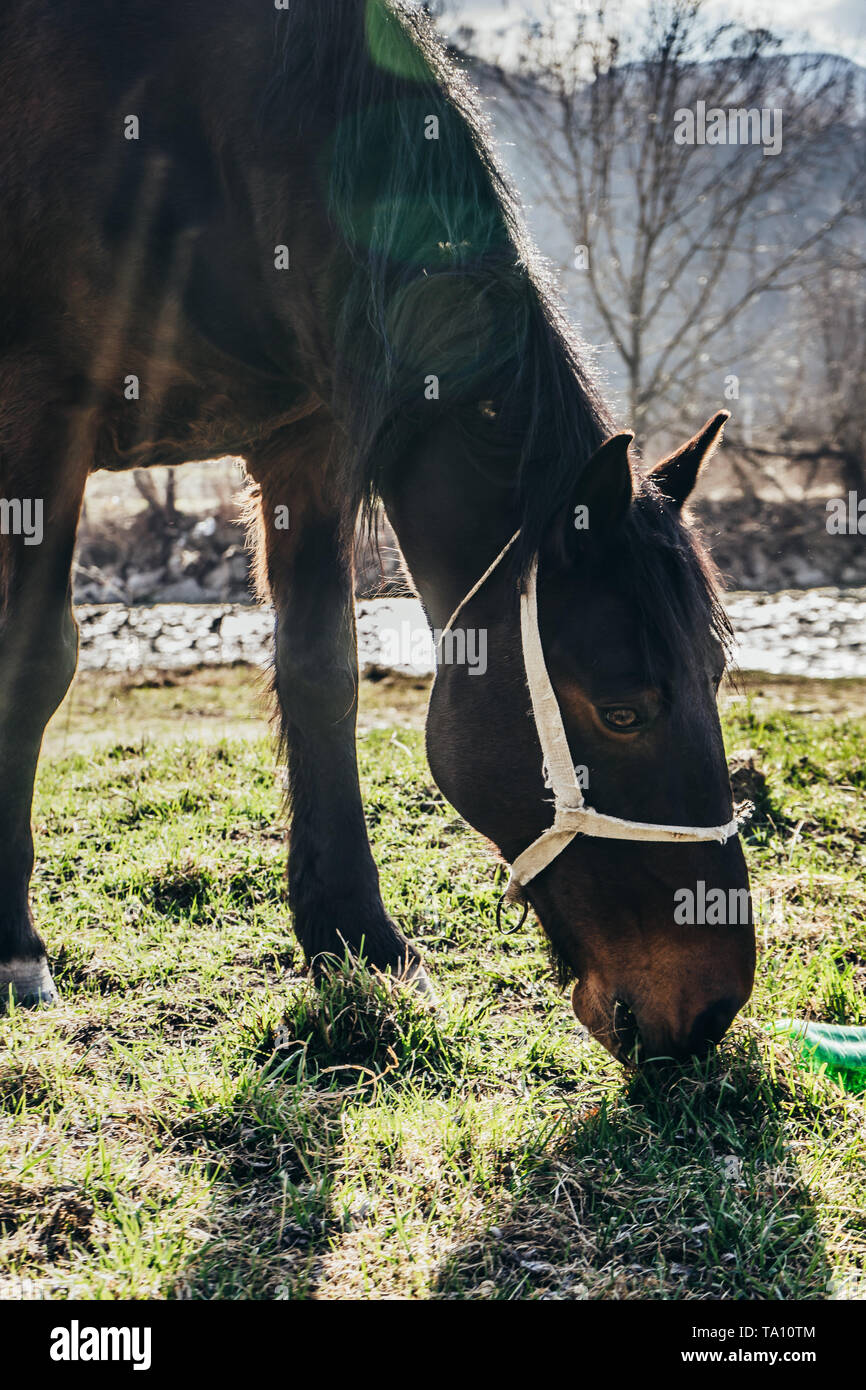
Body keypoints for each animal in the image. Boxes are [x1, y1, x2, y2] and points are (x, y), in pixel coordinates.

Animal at [0, 2, 750, 1061]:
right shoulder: (45, 428)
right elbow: (35, 665)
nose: (712, 1007)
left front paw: (354, 934)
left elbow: (321, 673)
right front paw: (13, 945)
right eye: (622, 712)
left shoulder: (307, 444)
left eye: (716, 676)